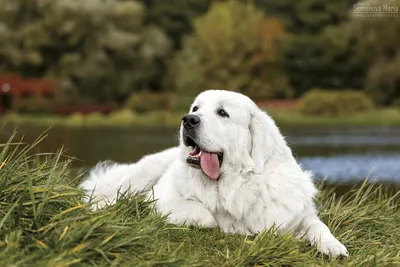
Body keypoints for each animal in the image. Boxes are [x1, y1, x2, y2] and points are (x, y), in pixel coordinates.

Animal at [80, 91, 346, 258]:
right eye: (196, 108)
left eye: (222, 113)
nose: (188, 119)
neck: (236, 184)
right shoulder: (162, 198)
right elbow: (207, 216)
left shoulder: (297, 214)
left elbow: (318, 226)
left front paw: (334, 247)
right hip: (141, 175)